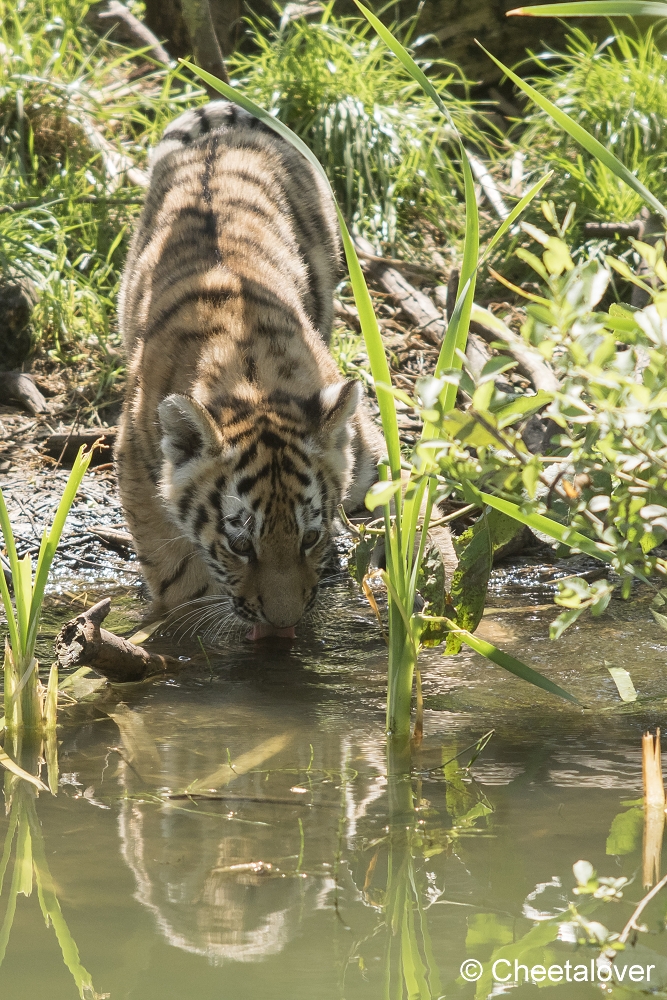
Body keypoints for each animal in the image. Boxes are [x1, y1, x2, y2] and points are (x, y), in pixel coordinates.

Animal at [117, 101, 384, 640]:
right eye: (240, 545)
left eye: (310, 537)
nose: (283, 623)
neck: (252, 383)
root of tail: (228, 128)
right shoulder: (136, 468)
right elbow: (177, 571)